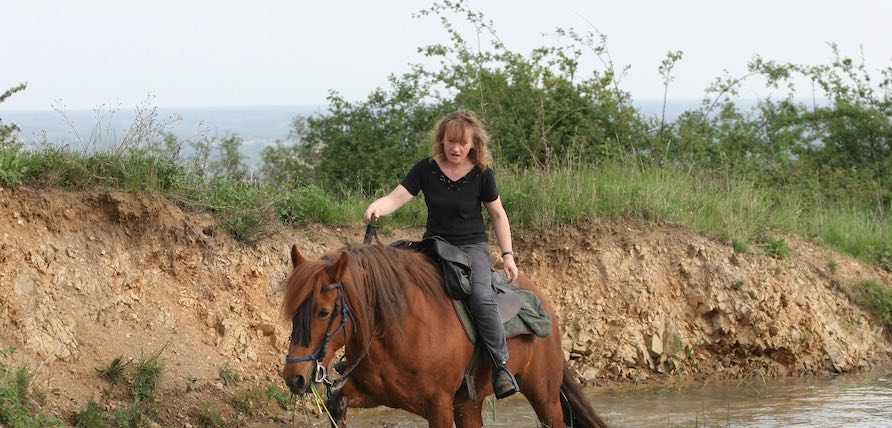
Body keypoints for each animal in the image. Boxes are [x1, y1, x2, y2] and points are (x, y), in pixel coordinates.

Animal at [280, 243, 608, 428]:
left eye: (324, 312)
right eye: (294, 311)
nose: (294, 377)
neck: (396, 332)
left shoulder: (438, 406)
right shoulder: (371, 393)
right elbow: (337, 403)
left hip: (543, 395)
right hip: (468, 405)